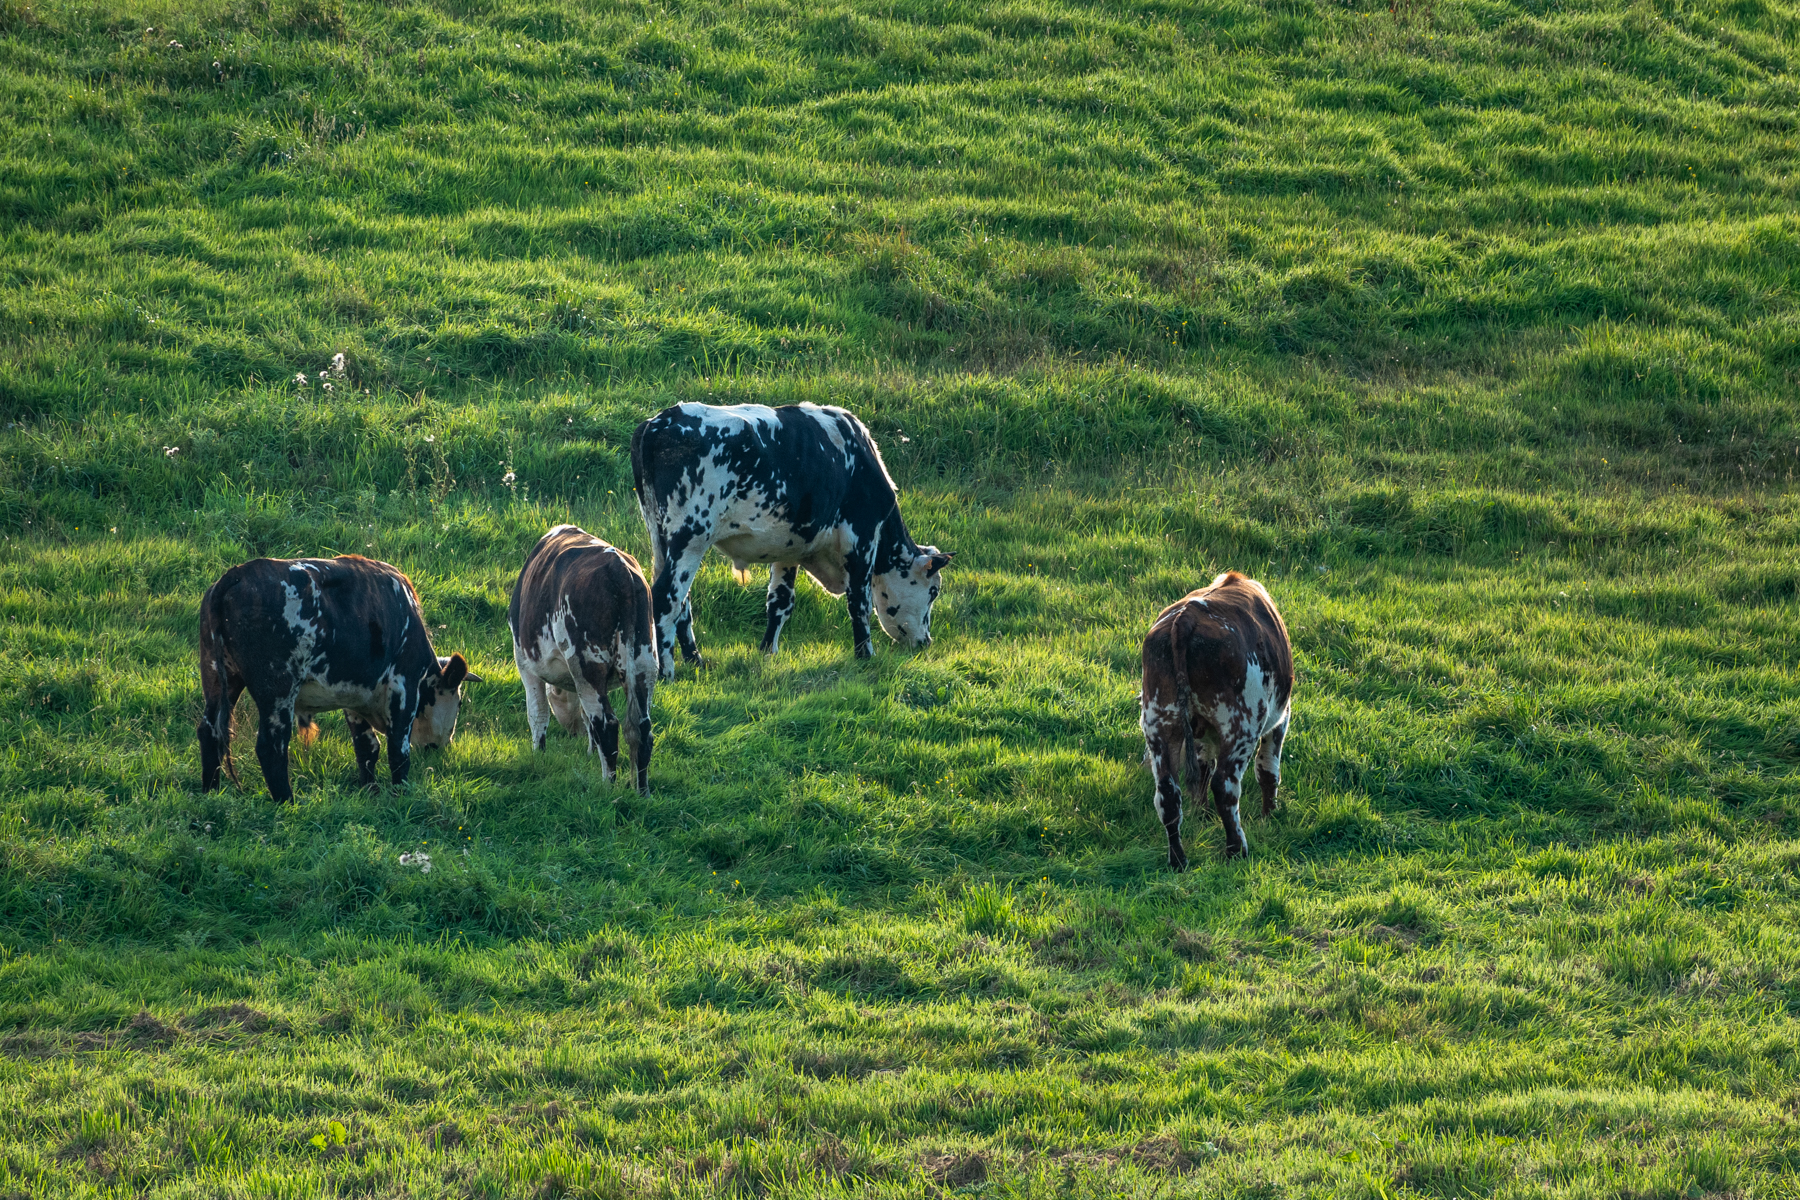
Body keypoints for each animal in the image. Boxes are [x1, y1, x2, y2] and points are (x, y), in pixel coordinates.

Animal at [197, 555, 478, 803]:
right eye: (458, 702)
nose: (442, 745)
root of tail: (235, 575)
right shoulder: (403, 687)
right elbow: (399, 751)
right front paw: (400, 795)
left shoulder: (356, 698)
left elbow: (367, 748)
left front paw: (371, 792)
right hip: (277, 690)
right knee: (272, 745)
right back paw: (287, 801)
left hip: (218, 677)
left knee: (210, 731)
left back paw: (211, 793)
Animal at [509, 524, 656, 792]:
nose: (572, 733)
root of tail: (618, 568)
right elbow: (587, 719)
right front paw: (589, 751)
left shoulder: (526, 667)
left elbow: (538, 715)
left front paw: (538, 755)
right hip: (644, 662)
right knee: (641, 728)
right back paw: (642, 792)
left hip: (588, 665)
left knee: (607, 725)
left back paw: (607, 787)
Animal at [630, 402, 953, 679]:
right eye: (933, 591)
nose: (926, 642)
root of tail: (658, 422)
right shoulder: (861, 537)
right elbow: (859, 602)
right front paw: (865, 656)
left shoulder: (789, 547)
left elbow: (780, 601)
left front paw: (767, 652)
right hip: (690, 537)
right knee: (667, 597)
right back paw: (665, 671)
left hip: (661, 538)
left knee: (680, 602)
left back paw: (695, 659)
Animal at [1140, 571, 1294, 869]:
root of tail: (1187, 617)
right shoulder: (1280, 719)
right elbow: (1268, 768)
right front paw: (1270, 815)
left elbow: (1201, 768)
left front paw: (1202, 814)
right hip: (1242, 725)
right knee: (1224, 784)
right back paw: (1236, 849)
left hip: (1158, 722)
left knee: (1168, 792)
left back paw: (1178, 861)